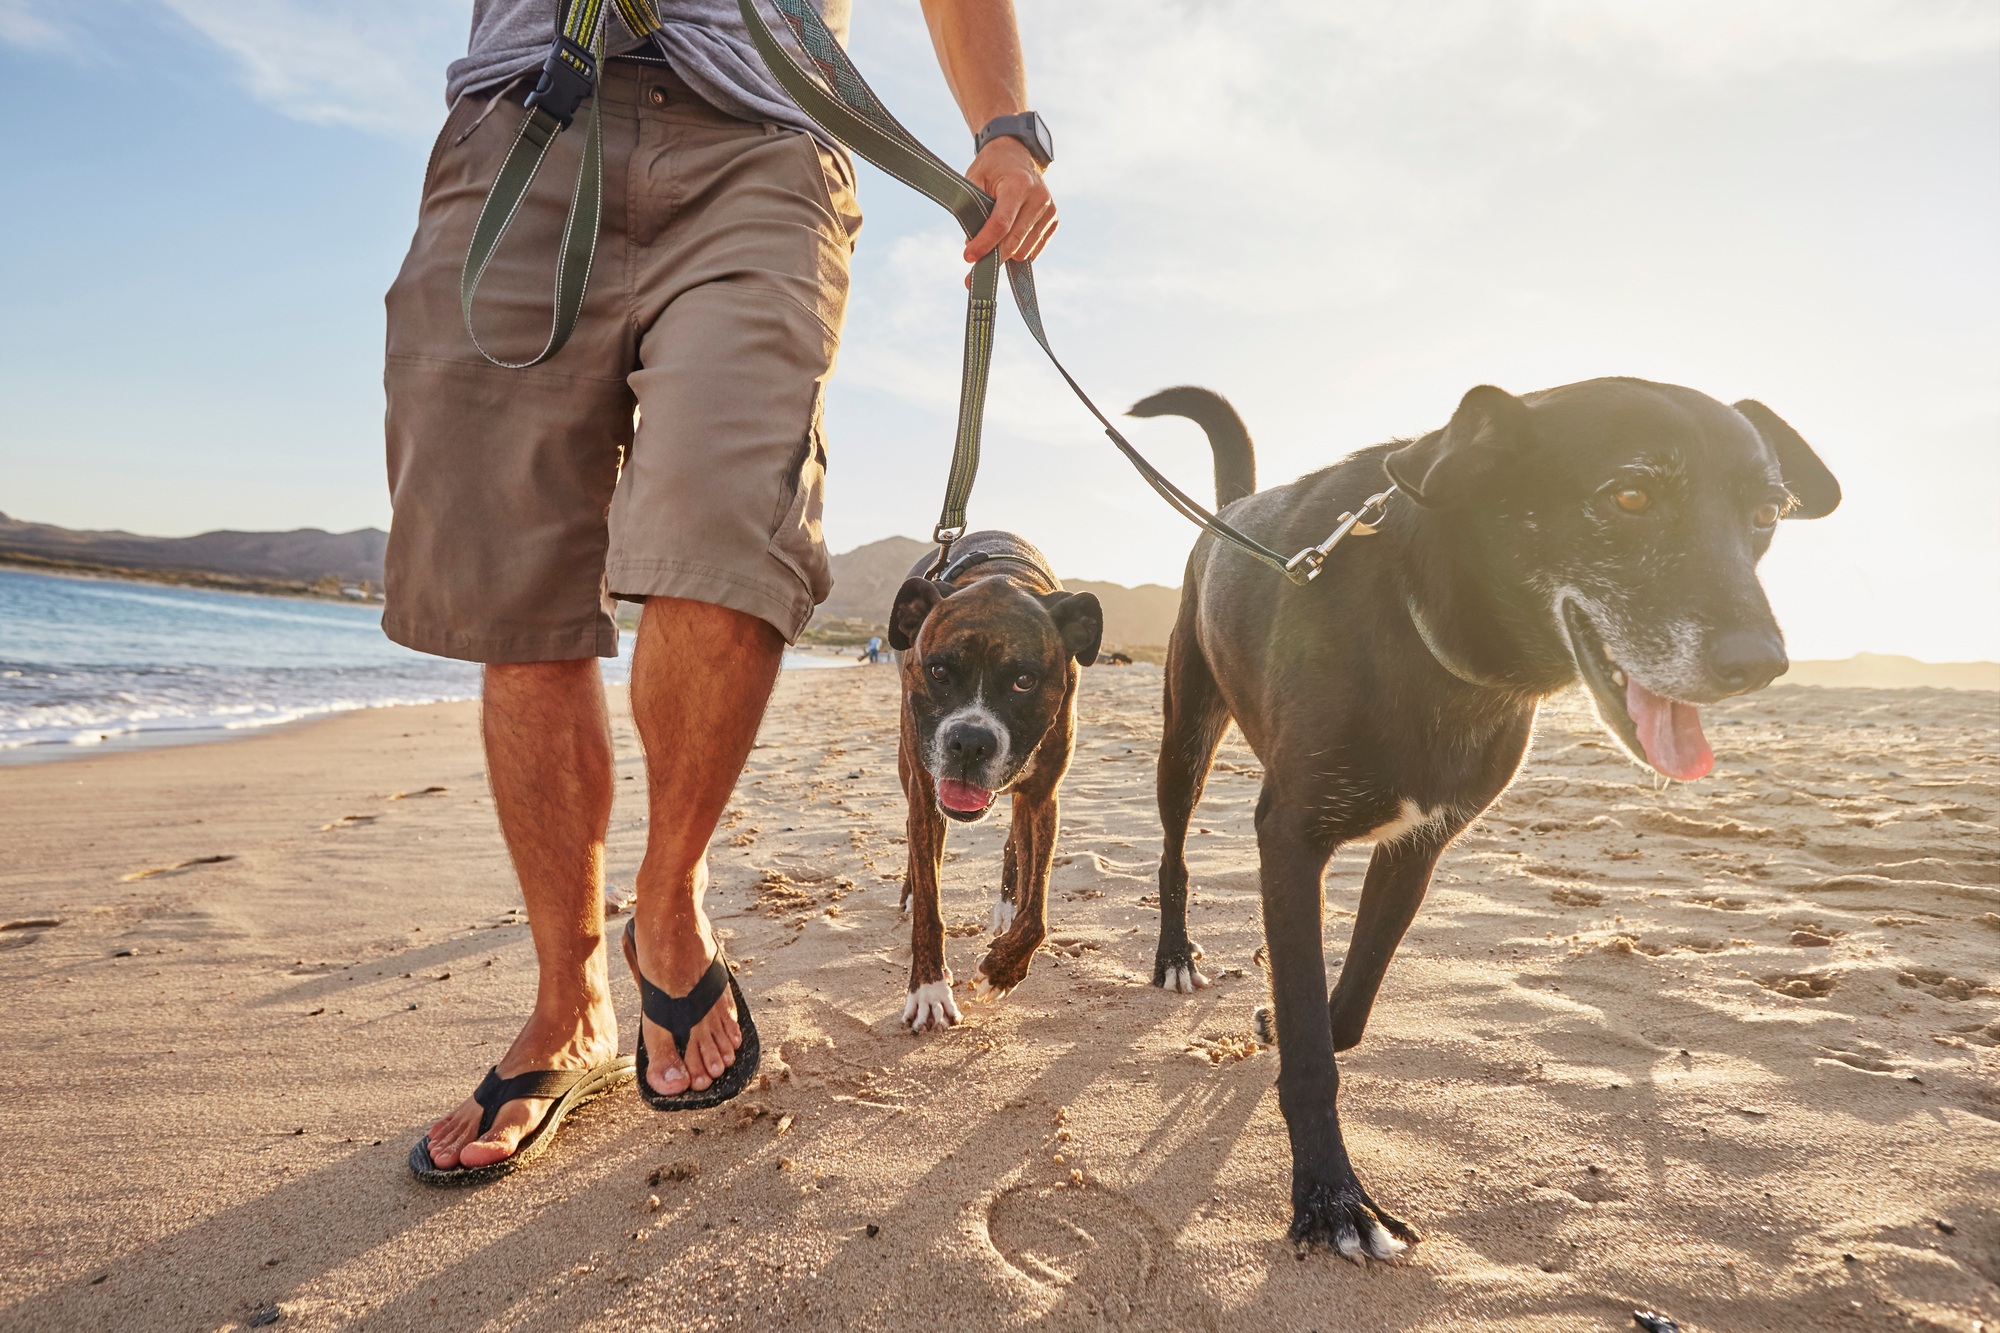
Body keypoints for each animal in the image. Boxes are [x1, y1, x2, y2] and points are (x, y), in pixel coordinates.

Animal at [892, 528, 1112, 1024]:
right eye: (938, 670)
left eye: (1024, 681)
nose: (970, 742)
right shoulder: (925, 794)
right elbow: (930, 904)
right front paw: (929, 988)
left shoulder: (1043, 797)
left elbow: (1038, 909)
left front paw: (1003, 967)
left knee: (1017, 843)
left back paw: (1008, 907)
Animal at [1128, 376, 1840, 1256]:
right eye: (1629, 495)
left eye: (1767, 513)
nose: (1759, 664)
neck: (1429, 634)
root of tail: (1229, 513)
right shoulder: (1289, 837)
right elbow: (1312, 1049)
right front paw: (1332, 1197)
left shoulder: (1419, 847)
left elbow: (1344, 1007)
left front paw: (1294, 1027)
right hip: (1185, 736)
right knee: (1173, 852)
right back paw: (1173, 953)